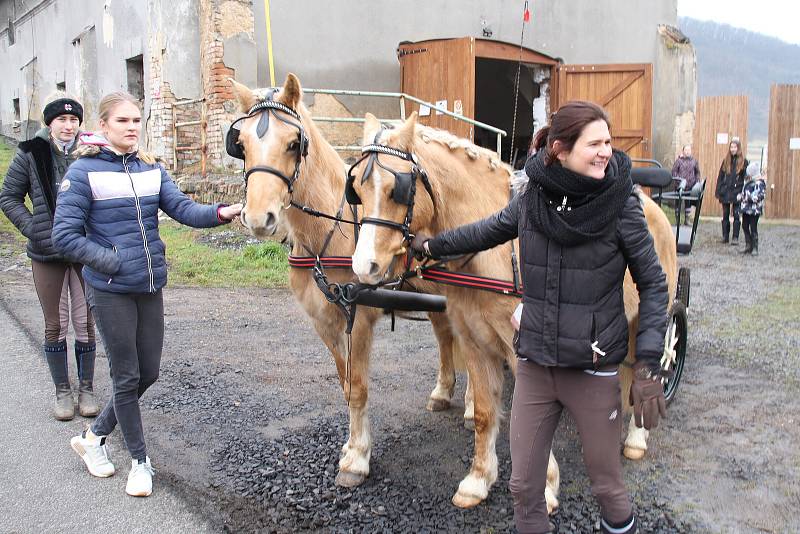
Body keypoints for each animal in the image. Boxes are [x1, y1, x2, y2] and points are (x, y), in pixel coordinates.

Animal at [228, 74, 482, 494]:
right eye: (242, 144)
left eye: (293, 143)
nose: (260, 218)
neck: (332, 234)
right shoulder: (325, 323)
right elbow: (346, 386)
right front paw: (350, 447)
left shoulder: (358, 319)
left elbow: (360, 387)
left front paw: (358, 459)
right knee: (446, 336)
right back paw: (443, 392)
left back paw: (475, 404)